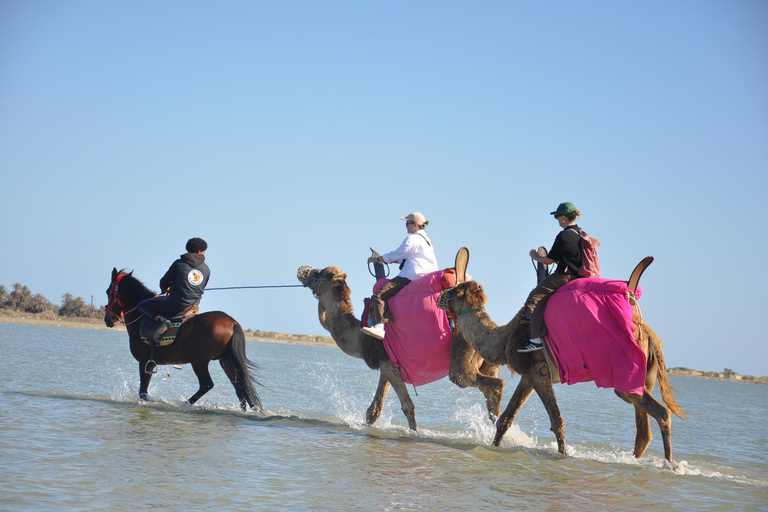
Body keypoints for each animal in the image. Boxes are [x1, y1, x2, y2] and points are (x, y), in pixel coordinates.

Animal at [105, 268, 260, 412]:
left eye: (108, 292)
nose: (108, 319)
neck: (140, 317)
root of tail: (233, 323)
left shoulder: (146, 362)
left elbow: (143, 393)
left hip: (199, 360)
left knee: (207, 384)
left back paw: (184, 404)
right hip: (225, 360)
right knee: (239, 386)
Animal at [298, 266, 504, 430]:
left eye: (323, 273)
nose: (303, 270)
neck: (361, 338)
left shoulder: (388, 363)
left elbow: (407, 405)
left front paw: (415, 434)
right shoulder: (388, 363)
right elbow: (374, 409)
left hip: (462, 359)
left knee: (490, 383)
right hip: (487, 360)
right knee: (490, 389)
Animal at [438, 278, 684, 466]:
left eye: (455, 290)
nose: (441, 294)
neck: (504, 338)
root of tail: (650, 334)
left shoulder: (538, 371)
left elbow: (556, 420)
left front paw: (564, 455)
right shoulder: (529, 375)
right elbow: (506, 419)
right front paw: (494, 447)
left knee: (661, 412)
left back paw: (670, 465)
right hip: (644, 374)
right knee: (643, 429)